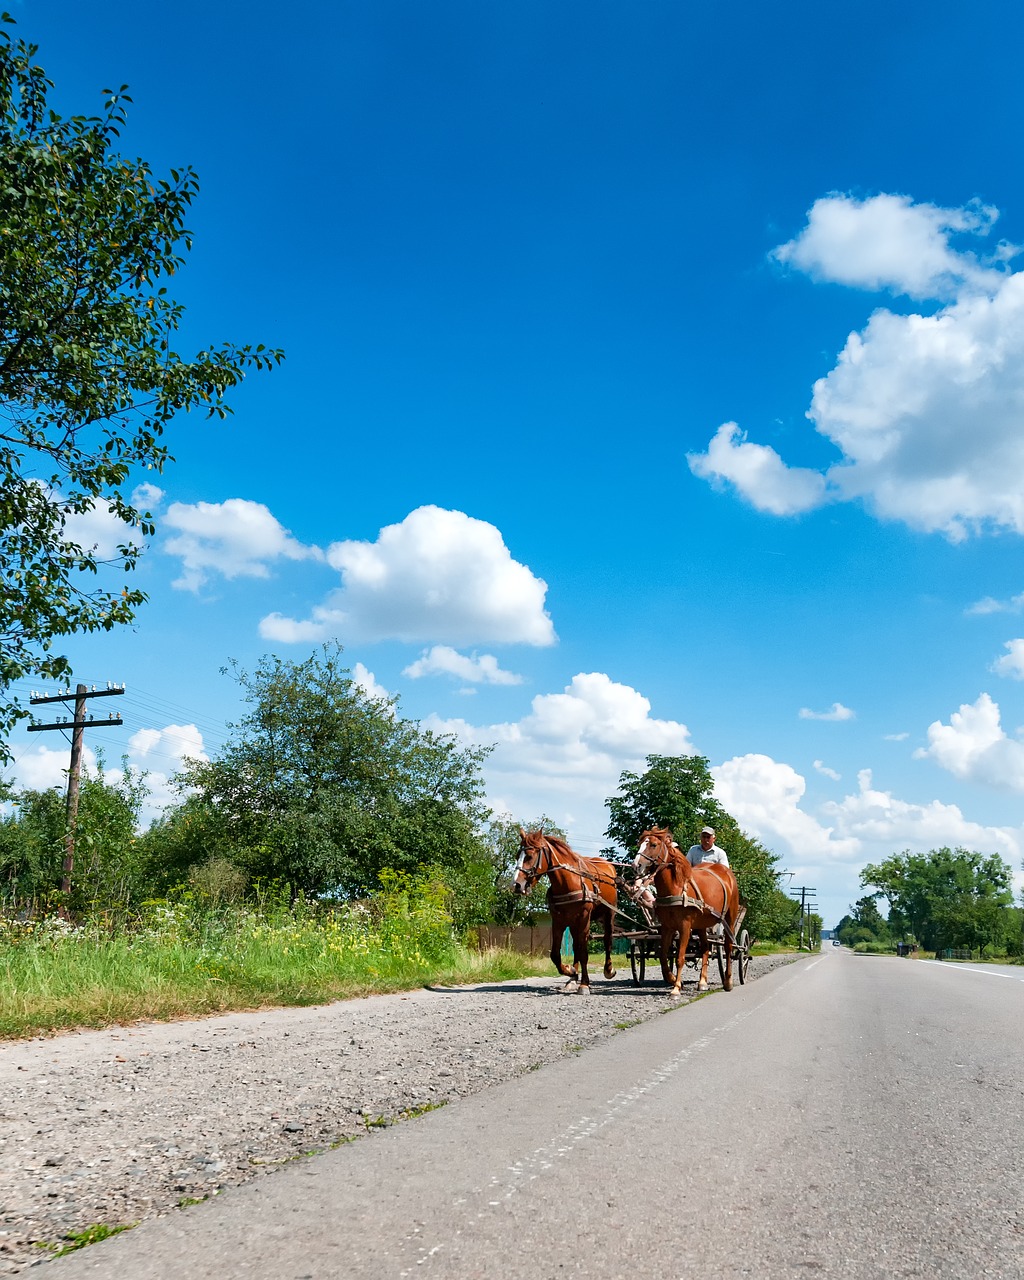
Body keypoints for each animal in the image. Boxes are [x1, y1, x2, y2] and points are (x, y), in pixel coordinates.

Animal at [512, 824, 616, 993]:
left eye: (529, 856)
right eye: (517, 856)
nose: (515, 884)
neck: (569, 882)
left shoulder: (584, 918)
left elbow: (584, 952)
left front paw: (584, 983)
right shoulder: (558, 921)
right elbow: (556, 954)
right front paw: (570, 971)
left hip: (609, 914)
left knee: (607, 940)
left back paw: (608, 969)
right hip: (574, 923)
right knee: (577, 946)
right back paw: (572, 979)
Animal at [634, 829, 742, 998]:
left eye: (653, 844)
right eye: (640, 843)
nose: (636, 865)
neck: (677, 887)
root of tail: (726, 872)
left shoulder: (685, 926)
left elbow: (680, 957)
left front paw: (676, 988)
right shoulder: (667, 927)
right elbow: (663, 956)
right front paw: (672, 979)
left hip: (729, 918)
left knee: (728, 947)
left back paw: (728, 981)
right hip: (702, 924)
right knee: (705, 948)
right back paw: (702, 982)